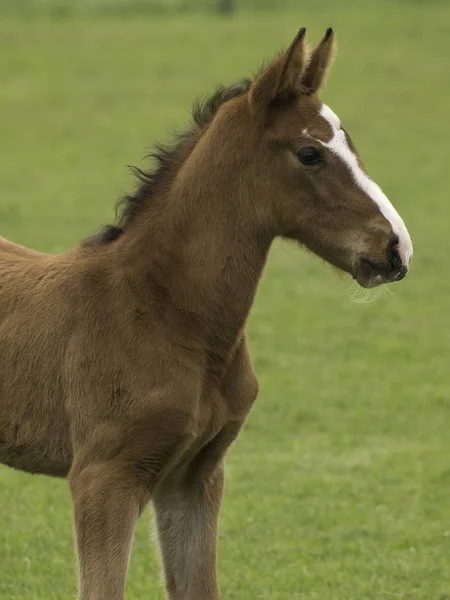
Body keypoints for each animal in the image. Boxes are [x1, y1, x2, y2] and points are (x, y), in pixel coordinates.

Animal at [0, 28, 414, 600]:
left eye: (350, 144)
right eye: (309, 153)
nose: (396, 248)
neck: (165, 314)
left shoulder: (195, 476)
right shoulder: (103, 478)